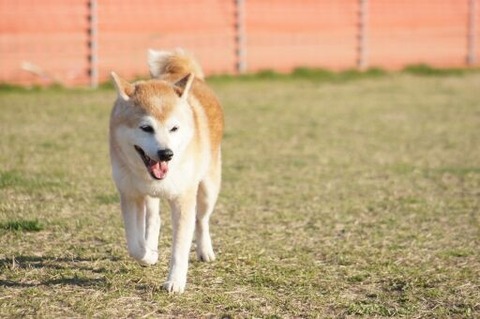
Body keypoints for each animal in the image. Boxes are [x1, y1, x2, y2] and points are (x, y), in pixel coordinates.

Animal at [109, 48, 223, 294]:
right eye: (146, 128)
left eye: (174, 128)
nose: (166, 154)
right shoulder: (130, 194)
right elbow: (134, 244)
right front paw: (149, 255)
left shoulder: (183, 200)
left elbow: (180, 248)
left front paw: (175, 282)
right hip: (149, 197)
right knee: (154, 220)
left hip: (208, 188)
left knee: (202, 220)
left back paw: (205, 250)